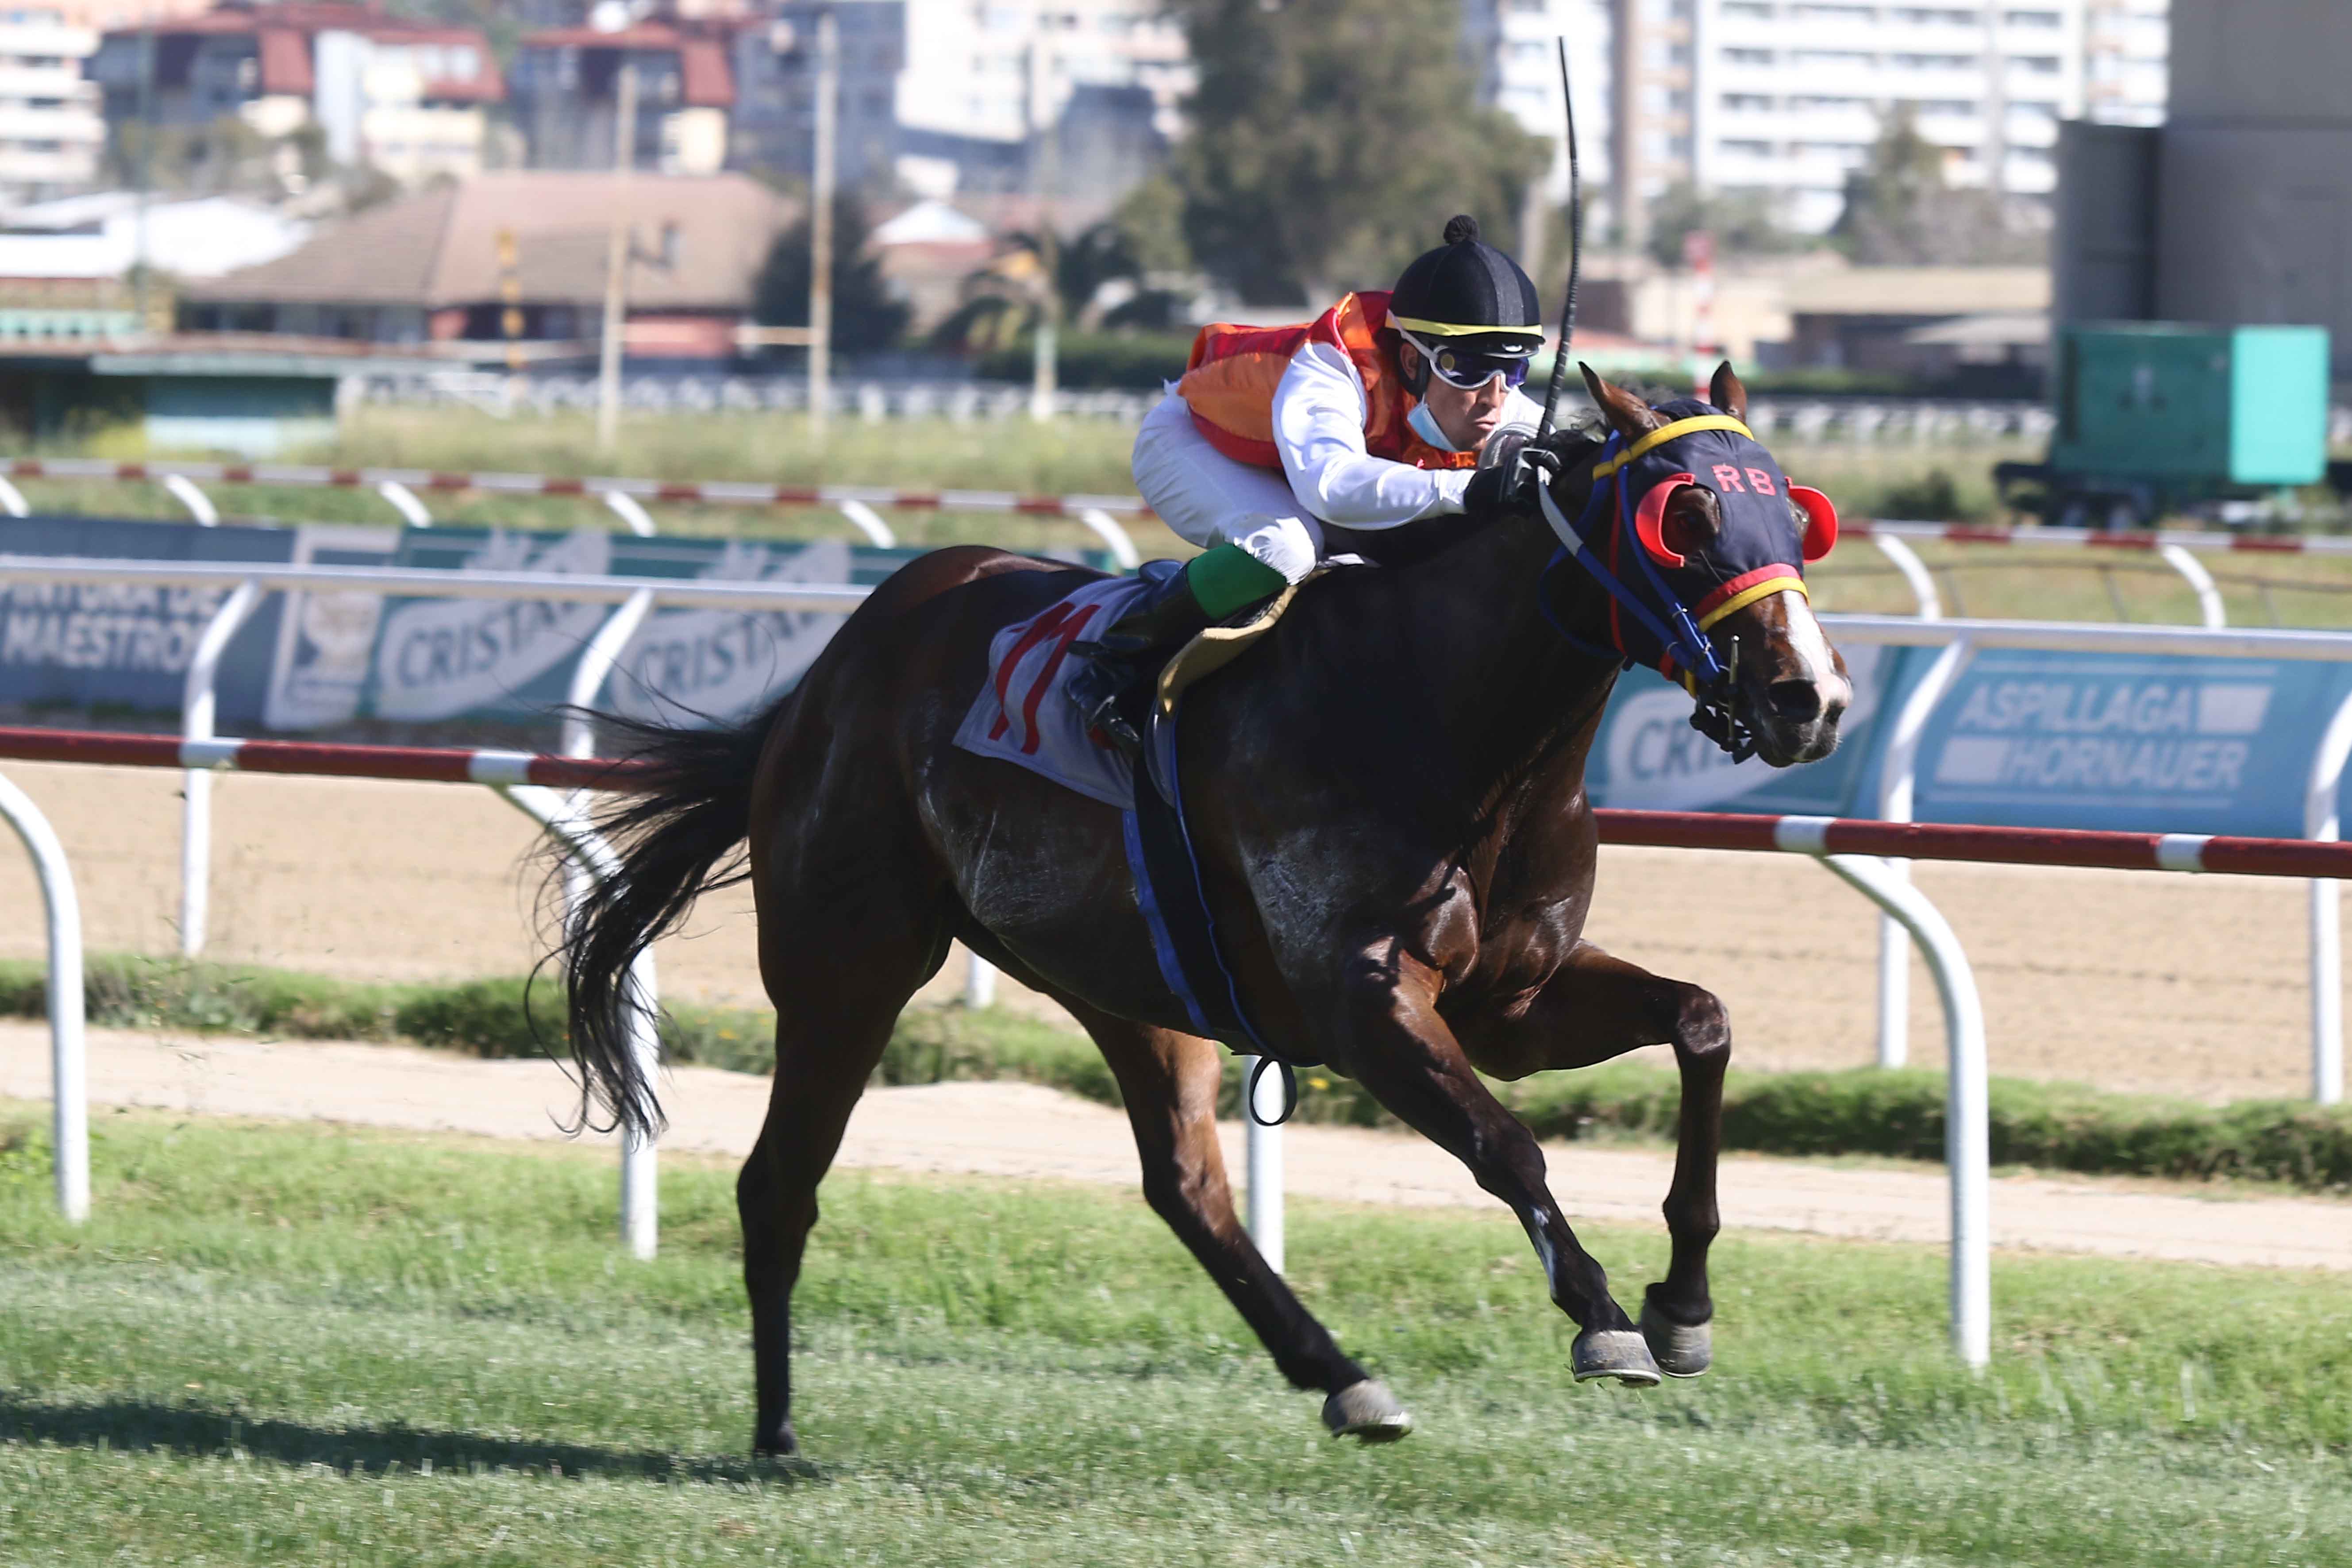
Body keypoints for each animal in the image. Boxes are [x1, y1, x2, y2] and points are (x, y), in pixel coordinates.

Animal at [554, 363, 1851, 1454]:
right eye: (1685, 519)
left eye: (1796, 518)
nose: (1813, 697)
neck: (1448, 716)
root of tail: (832, 668)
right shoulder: (1363, 1003)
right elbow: (1505, 1143)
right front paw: (1604, 1316)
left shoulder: (1514, 1003)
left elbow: (1701, 1021)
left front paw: (1683, 1301)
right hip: (848, 960)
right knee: (779, 1181)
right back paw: (776, 1429)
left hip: (1123, 977)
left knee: (1183, 1185)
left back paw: (1342, 1376)